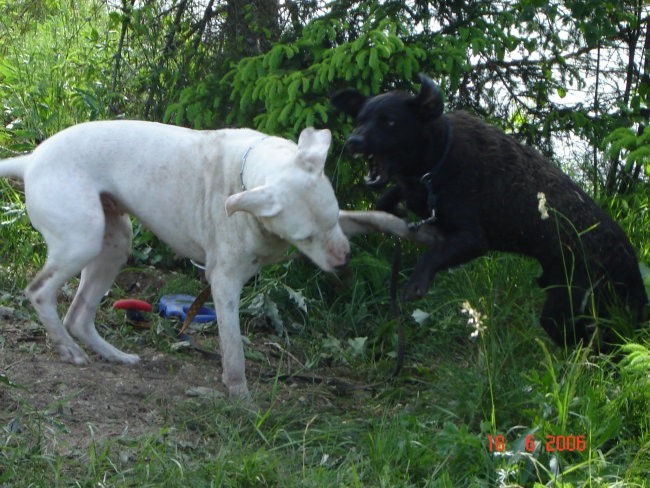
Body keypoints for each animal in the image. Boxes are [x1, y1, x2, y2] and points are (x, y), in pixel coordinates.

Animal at [1, 120, 426, 398]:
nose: (342, 260)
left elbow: (368, 218)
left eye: (332, 216)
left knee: (79, 315)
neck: (249, 175)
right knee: (40, 292)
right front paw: (241, 398)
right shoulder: (223, 283)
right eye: (305, 236)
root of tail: (31, 158)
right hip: (82, 240)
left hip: (114, 242)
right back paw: (68, 350)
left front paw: (406, 227)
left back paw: (114, 355)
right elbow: (233, 348)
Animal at [332, 73, 644, 346]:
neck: (439, 159)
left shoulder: (473, 239)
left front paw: (416, 282)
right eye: (359, 120)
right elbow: (385, 201)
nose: (352, 142)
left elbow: (433, 255)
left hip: (568, 305)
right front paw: (394, 209)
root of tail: (630, 262)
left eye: (390, 122)